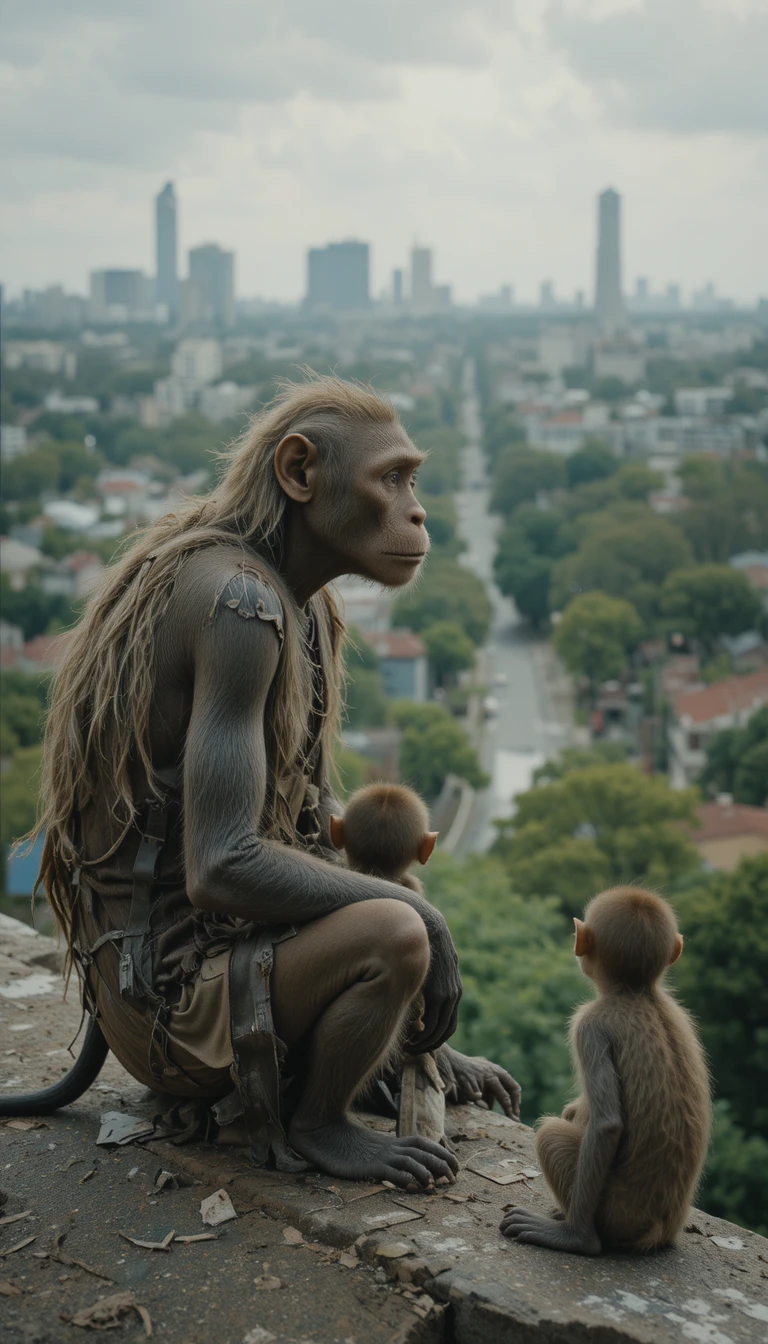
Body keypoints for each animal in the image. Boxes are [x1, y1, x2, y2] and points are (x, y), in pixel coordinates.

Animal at [501, 886, 710, 1254]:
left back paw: (575, 1229)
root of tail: (657, 1231)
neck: (638, 993)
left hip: (614, 1213)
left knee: (552, 1135)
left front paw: (576, 1237)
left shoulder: (588, 1026)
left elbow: (607, 1124)